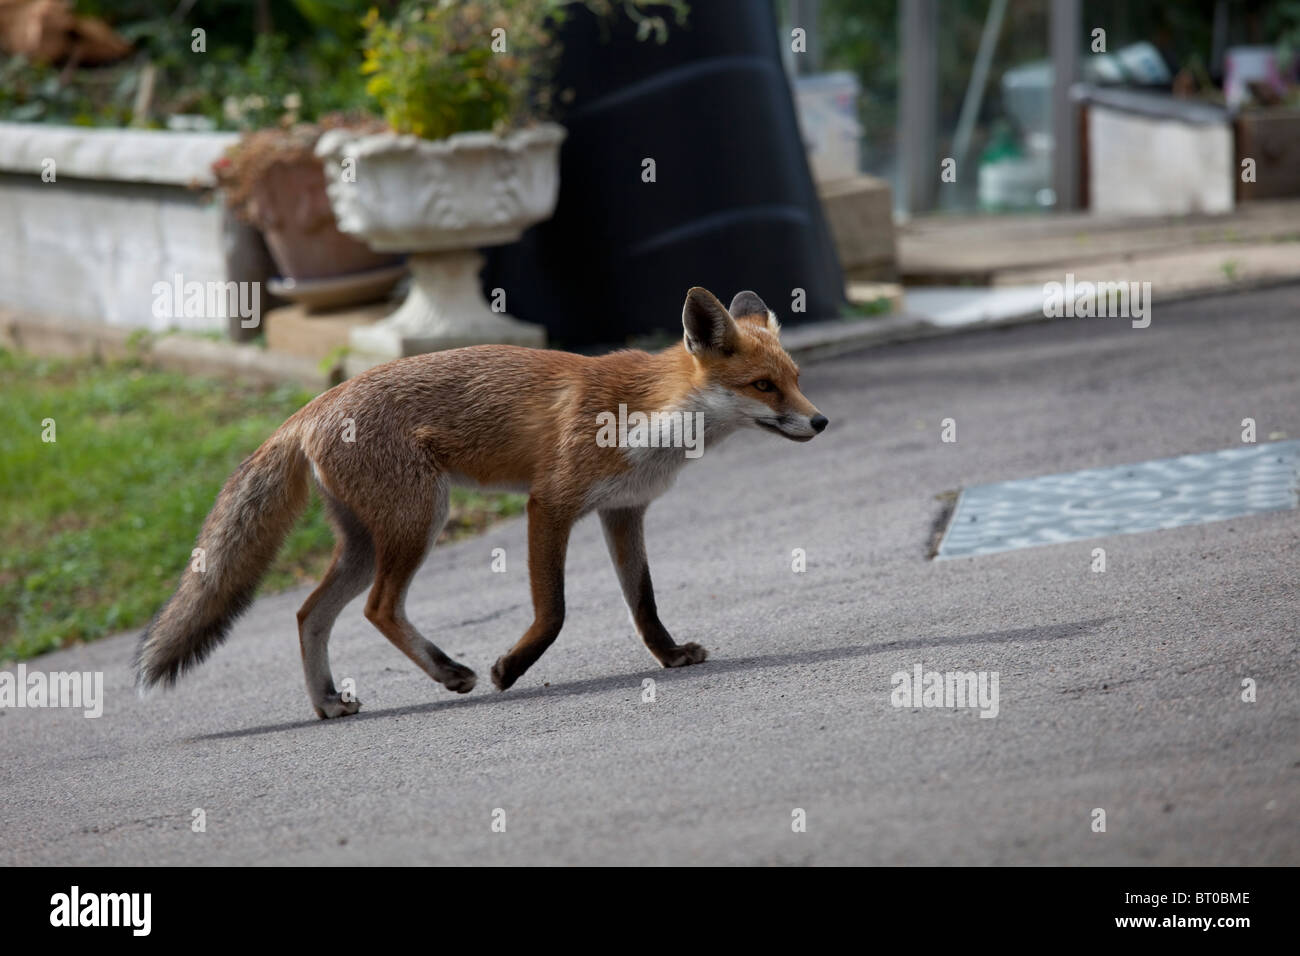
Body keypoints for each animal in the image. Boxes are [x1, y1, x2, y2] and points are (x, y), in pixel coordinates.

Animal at [137, 286, 826, 717]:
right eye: (763, 386)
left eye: (795, 379)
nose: (820, 422)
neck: (650, 415)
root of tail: (311, 407)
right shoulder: (550, 503)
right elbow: (554, 612)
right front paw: (510, 670)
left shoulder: (623, 511)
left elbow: (643, 603)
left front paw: (670, 656)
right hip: (419, 521)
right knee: (378, 609)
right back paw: (448, 672)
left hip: (367, 542)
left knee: (310, 614)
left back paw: (329, 703)